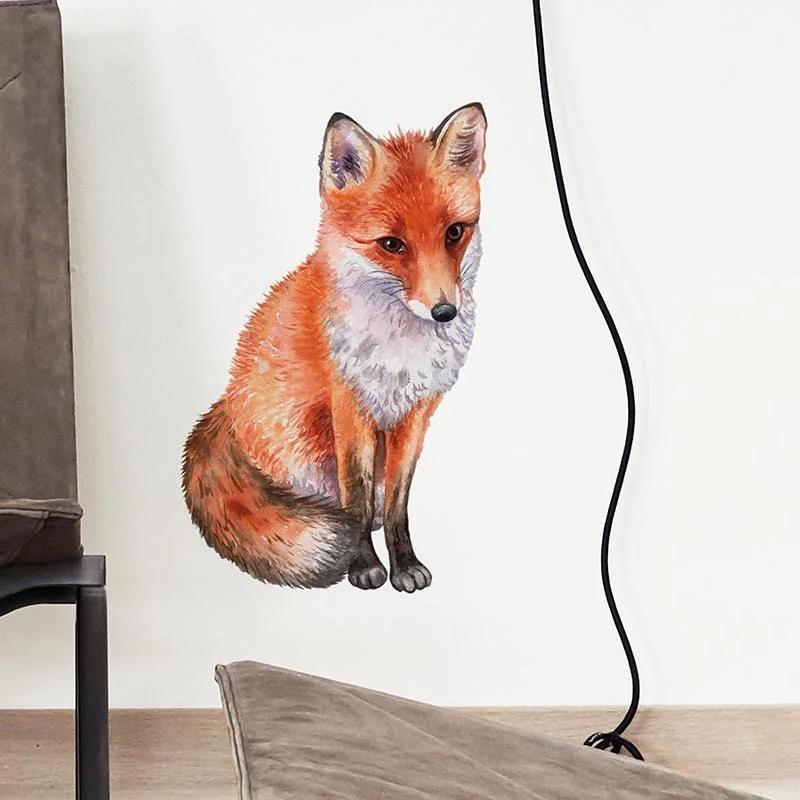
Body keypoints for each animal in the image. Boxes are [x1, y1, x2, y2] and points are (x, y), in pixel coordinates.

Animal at [182, 103, 487, 592]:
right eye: (391, 244)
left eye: (454, 233)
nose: (444, 311)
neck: (399, 354)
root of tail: (224, 408)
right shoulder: (349, 407)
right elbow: (355, 499)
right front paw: (363, 565)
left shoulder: (415, 415)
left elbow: (398, 503)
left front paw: (404, 563)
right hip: (301, 444)